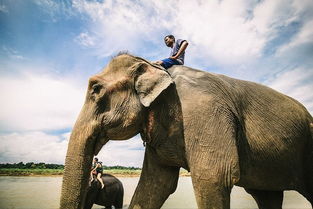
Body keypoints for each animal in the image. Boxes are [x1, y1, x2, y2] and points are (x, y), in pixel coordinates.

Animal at [60, 53, 312, 209]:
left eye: (95, 89)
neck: (154, 67)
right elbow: (155, 184)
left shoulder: (205, 112)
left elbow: (213, 177)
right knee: (266, 195)